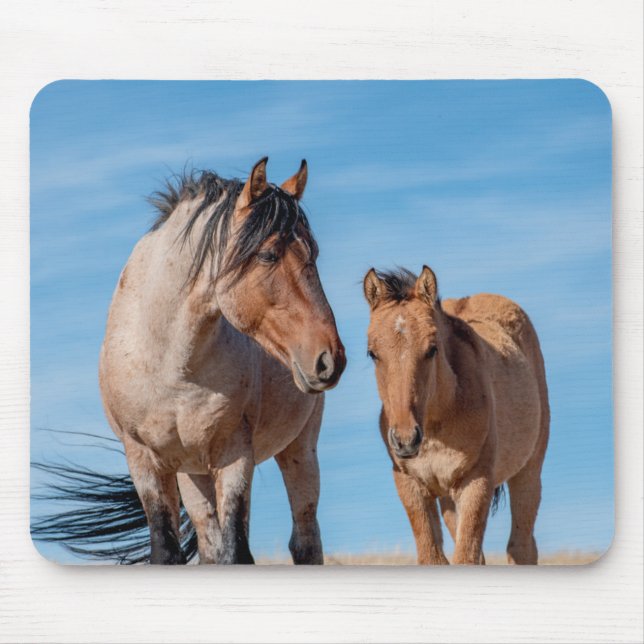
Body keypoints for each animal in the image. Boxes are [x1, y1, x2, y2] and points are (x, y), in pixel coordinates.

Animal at [86, 157, 346, 565]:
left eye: (314, 254)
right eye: (268, 254)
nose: (329, 358)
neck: (171, 366)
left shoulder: (233, 453)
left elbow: (237, 551)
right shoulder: (144, 460)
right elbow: (167, 551)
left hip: (299, 448)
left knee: (305, 540)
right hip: (194, 473)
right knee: (210, 544)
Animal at [363, 266, 549, 565]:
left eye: (432, 349)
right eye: (372, 353)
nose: (405, 440)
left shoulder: (476, 483)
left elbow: (466, 557)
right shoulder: (412, 486)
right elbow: (434, 557)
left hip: (528, 470)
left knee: (521, 547)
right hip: (448, 499)